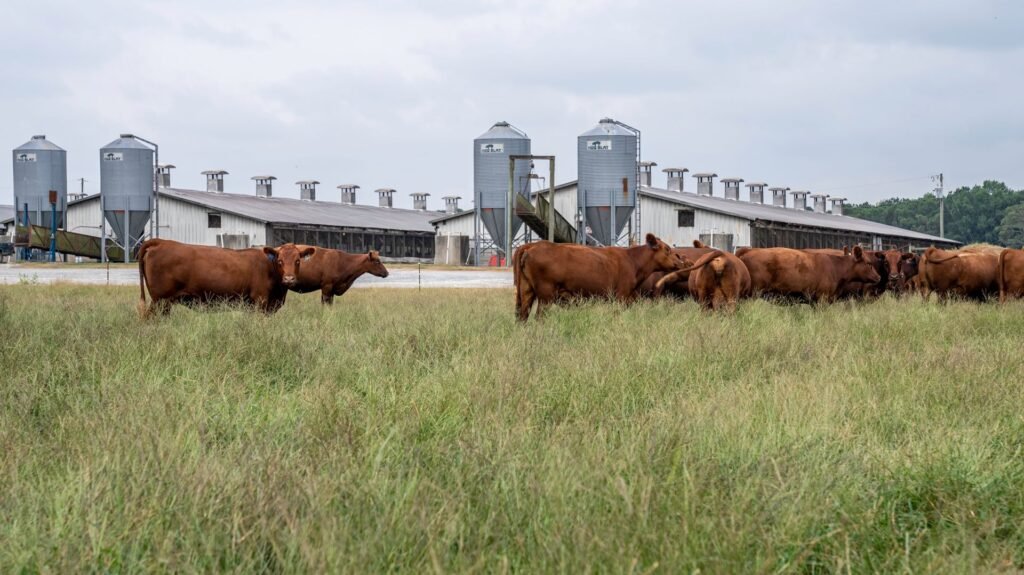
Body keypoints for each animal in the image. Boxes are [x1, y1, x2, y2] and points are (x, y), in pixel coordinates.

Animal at [137, 239, 314, 317]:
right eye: (280, 261)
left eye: (298, 261)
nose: (289, 279)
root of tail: (161, 242)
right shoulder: (260, 301)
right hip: (160, 300)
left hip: (164, 302)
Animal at [515, 233, 684, 321]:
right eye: (667, 249)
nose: (680, 261)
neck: (632, 260)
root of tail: (531, 246)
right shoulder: (621, 296)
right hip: (546, 295)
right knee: (539, 317)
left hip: (526, 291)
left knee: (522, 315)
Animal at [739, 246, 881, 303]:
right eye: (869, 263)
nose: (878, 277)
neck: (835, 267)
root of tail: (748, 250)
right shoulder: (822, 299)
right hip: (752, 294)